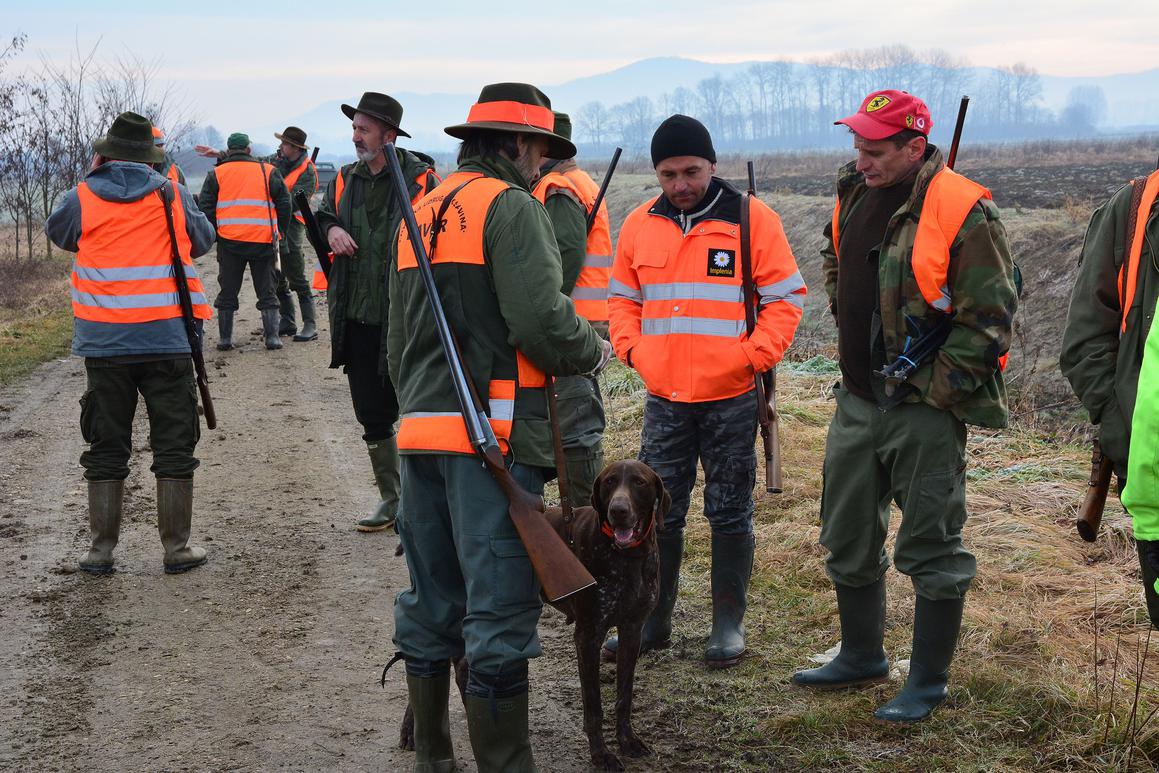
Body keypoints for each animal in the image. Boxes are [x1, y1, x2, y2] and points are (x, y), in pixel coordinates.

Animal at [549, 463, 676, 769]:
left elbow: (624, 696)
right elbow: (594, 706)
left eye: (639, 482)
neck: (626, 557)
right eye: (609, 482)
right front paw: (601, 753)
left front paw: (627, 740)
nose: (618, 510)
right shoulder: (588, 637)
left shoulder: (632, 631)